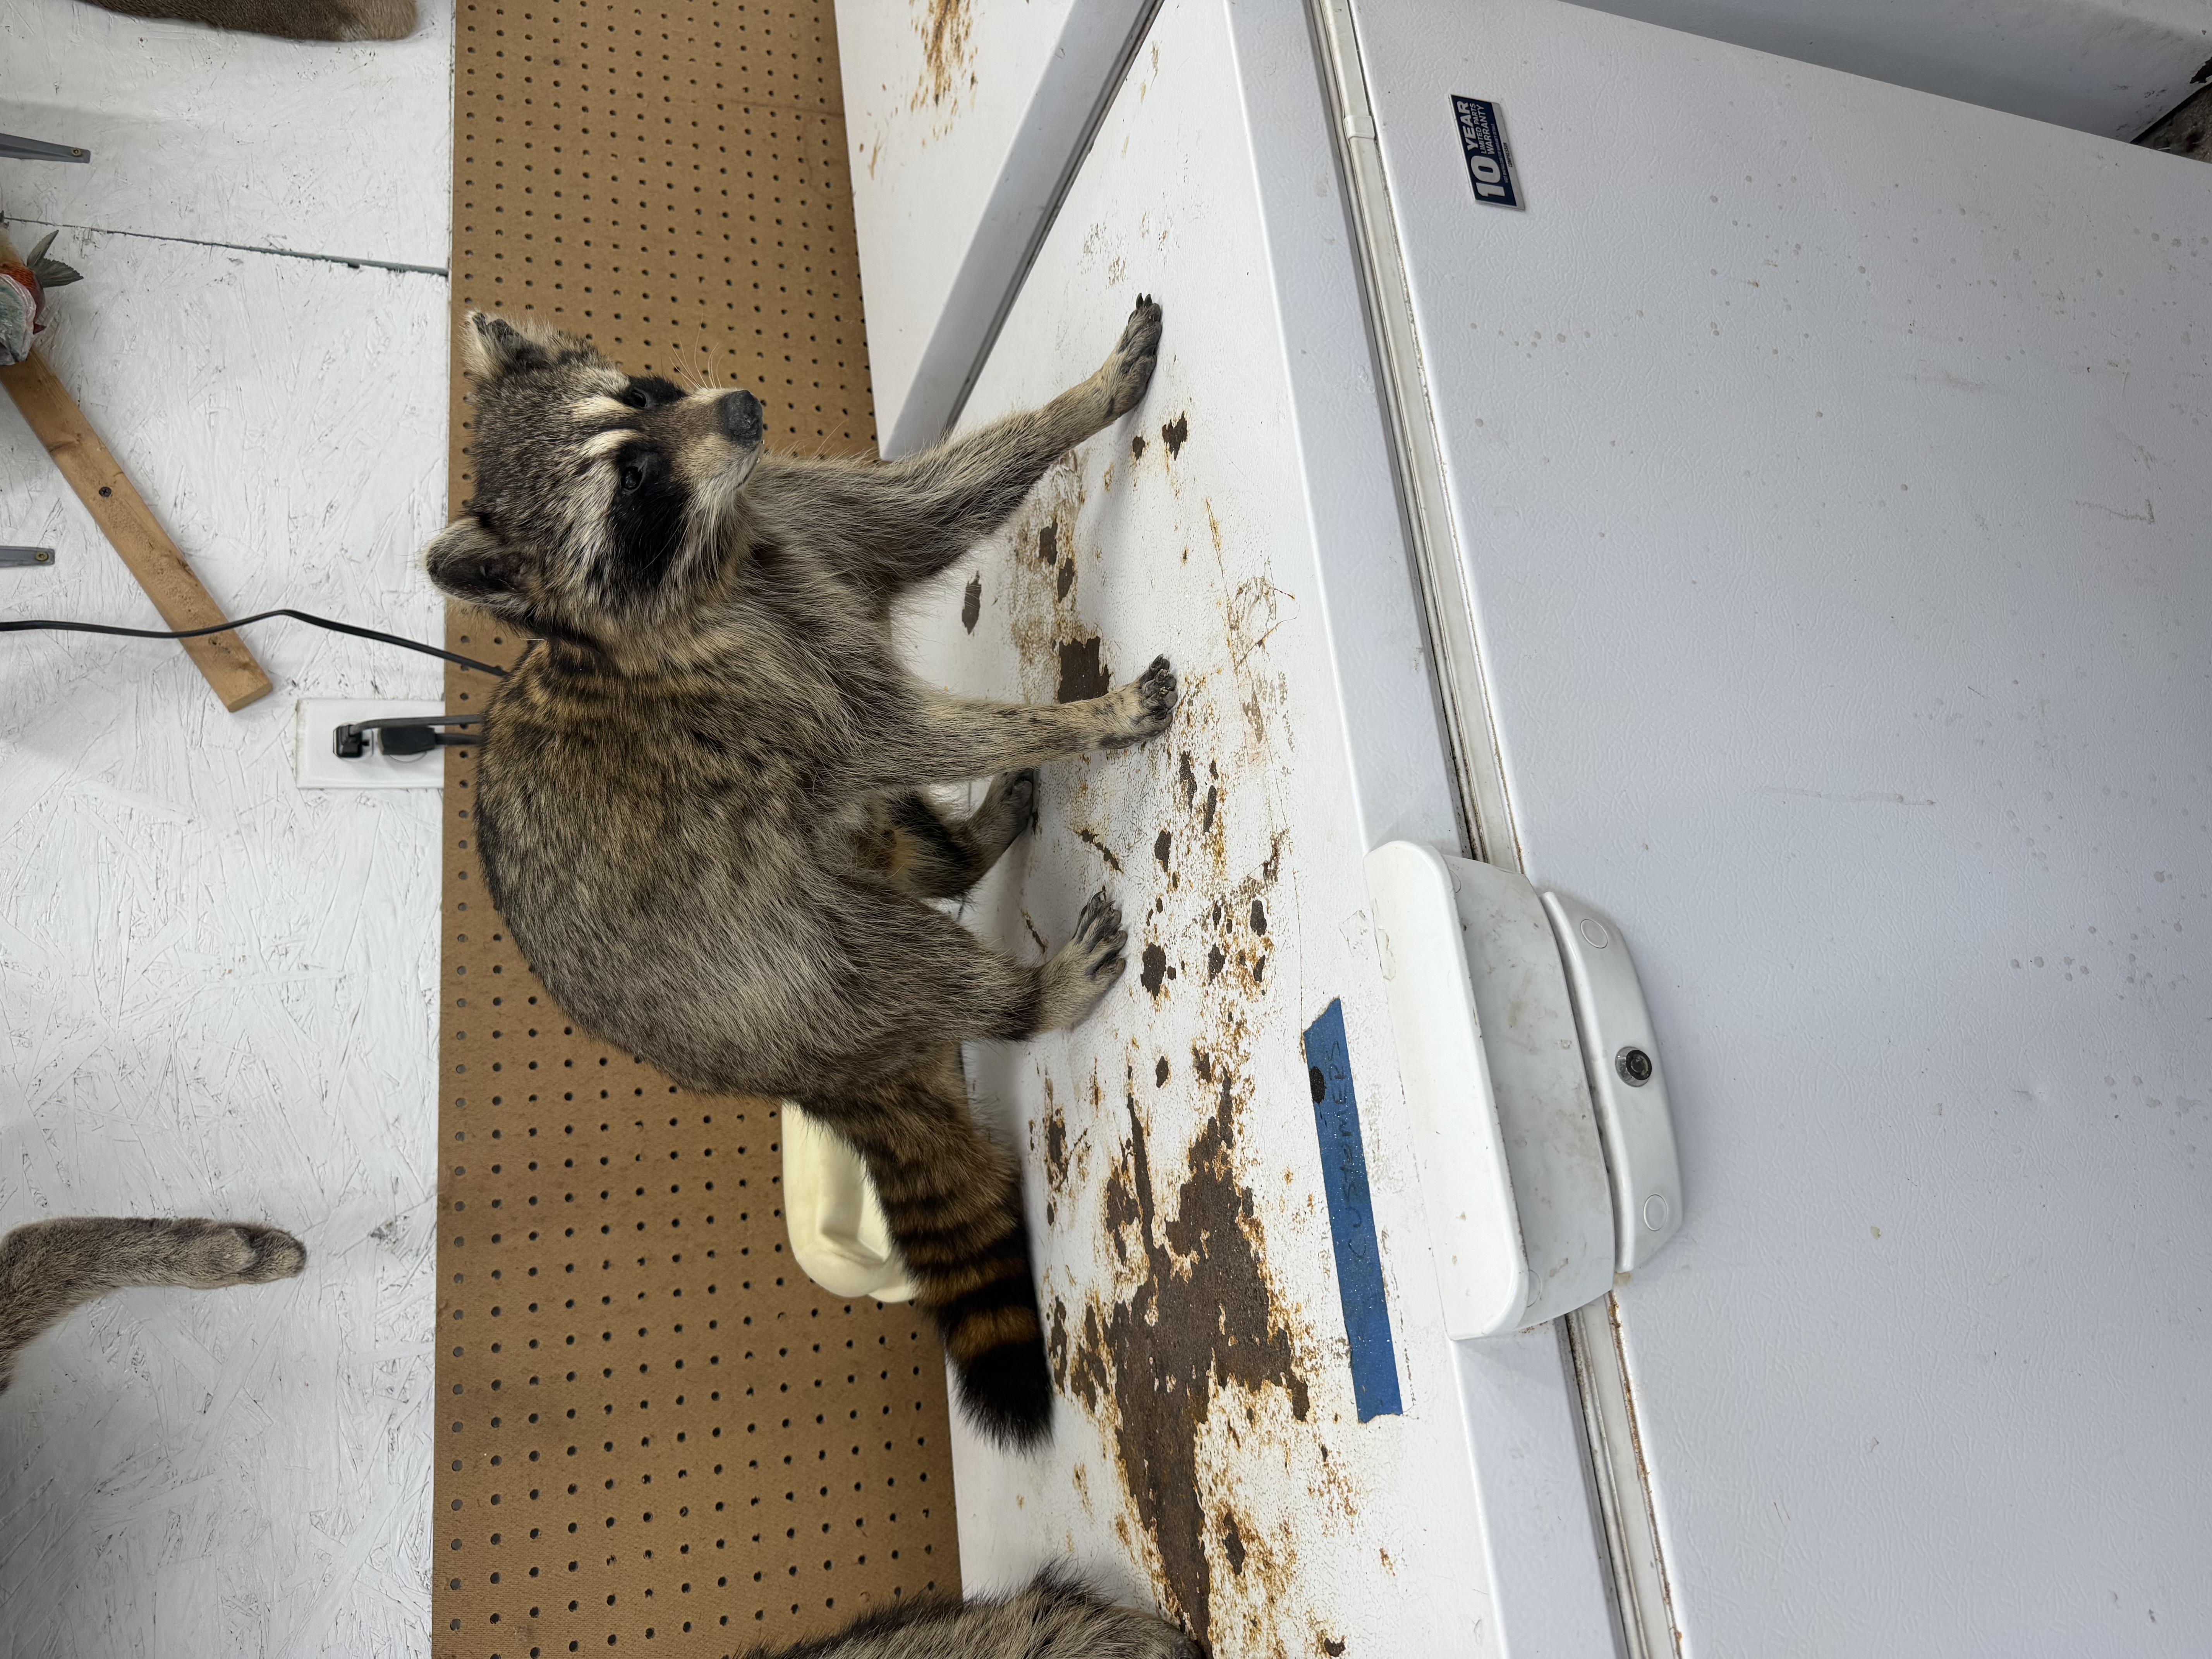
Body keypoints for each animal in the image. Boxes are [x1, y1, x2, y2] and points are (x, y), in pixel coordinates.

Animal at [423, 298, 1176, 1449]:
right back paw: (1025, 997)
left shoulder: (794, 513)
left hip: (840, 874)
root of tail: (814, 1078)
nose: (740, 406)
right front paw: (1080, 721)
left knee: (899, 839)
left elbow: (932, 506)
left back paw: (968, 846)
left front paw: (1079, 403)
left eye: (643, 391)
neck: (726, 558)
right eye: (631, 484)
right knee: (895, 956)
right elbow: (904, 735)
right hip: (778, 977)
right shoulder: (771, 689)